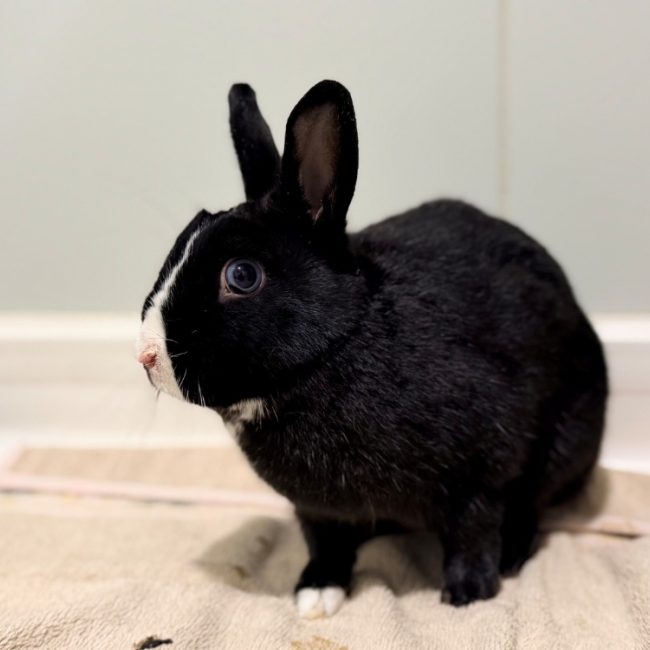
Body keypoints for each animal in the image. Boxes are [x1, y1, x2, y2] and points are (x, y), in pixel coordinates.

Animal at [136, 80, 607, 618]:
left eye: (241, 275)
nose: (147, 356)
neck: (333, 349)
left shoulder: (481, 474)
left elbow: (473, 531)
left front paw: (467, 594)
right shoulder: (317, 509)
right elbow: (325, 543)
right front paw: (315, 595)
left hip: (565, 442)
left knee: (531, 504)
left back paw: (509, 556)